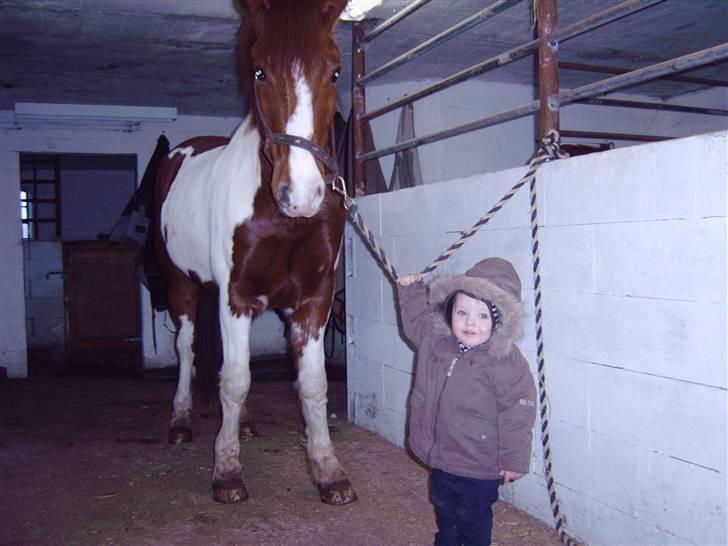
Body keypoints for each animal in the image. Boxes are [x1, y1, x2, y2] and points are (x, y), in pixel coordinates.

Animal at [155, 0, 354, 506]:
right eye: (259, 70)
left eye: (336, 71)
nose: (300, 194)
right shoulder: (236, 296)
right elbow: (235, 379)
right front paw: (226, 472)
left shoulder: (315, 299)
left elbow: (313, 383)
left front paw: (328, 471)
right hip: (180, 285)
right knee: (186, 348)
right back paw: (180, 422)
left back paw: (241, 426)